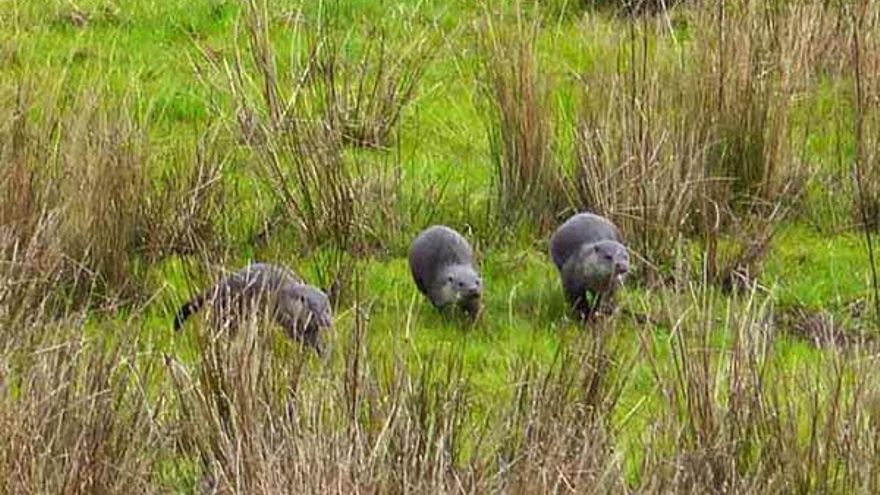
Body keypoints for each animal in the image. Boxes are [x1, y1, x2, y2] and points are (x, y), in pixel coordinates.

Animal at [174, 262, 332, 354]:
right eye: (314, 310)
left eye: (327, 309)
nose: (327, 321)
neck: (287, 294)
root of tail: (222, 284)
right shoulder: (282, 313)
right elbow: (295, 333)